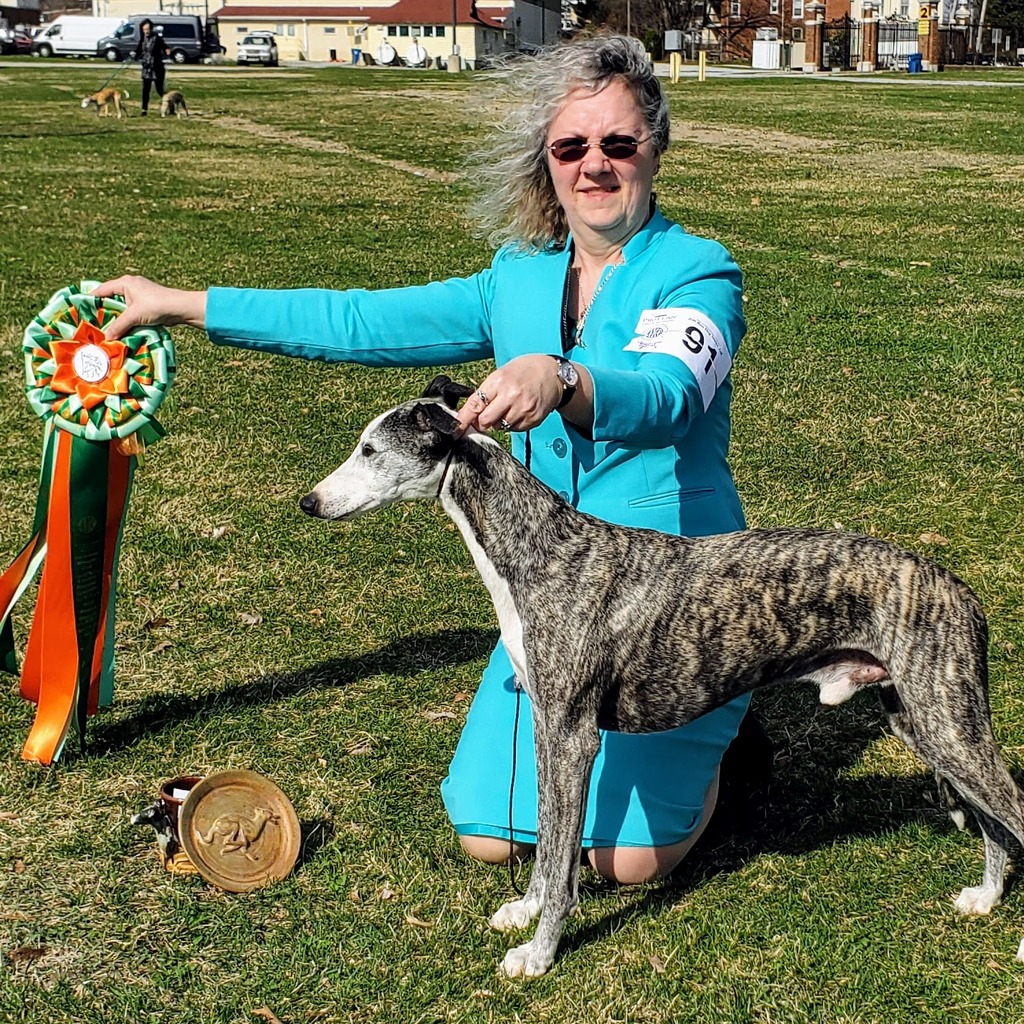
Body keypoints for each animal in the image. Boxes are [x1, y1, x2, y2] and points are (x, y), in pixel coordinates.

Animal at [299, 377, 1024, 979]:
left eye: (370, 449)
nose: (309, 502)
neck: (540, 551)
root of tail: (961, 592)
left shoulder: (572, 737)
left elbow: (562, 860)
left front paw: (539, 953)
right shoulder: (545, 729)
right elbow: (546, 839)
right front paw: (524, 912)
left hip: (948, 723)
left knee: (1012, 806)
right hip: (923, 722)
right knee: (993, 821)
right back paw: (986, 898)